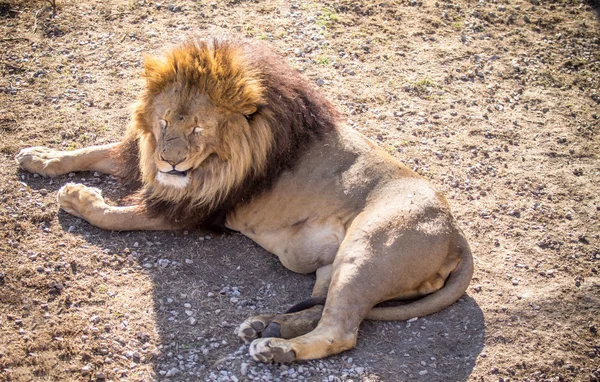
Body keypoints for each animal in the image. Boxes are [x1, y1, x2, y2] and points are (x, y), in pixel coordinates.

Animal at [15, 37, 474, 362]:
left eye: (197, 128)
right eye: (164, 122)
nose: (170, 160)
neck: (222, 155)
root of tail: (457, 236)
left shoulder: (194, 208)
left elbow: (115, 216)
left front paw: (78, 198)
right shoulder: (146, 159)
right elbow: (92, 151)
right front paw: (41, 156)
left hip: (368, 250)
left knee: (341, 331)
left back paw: (276, 349)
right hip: (335, 267)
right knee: (322, 307)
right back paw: (265, 326)